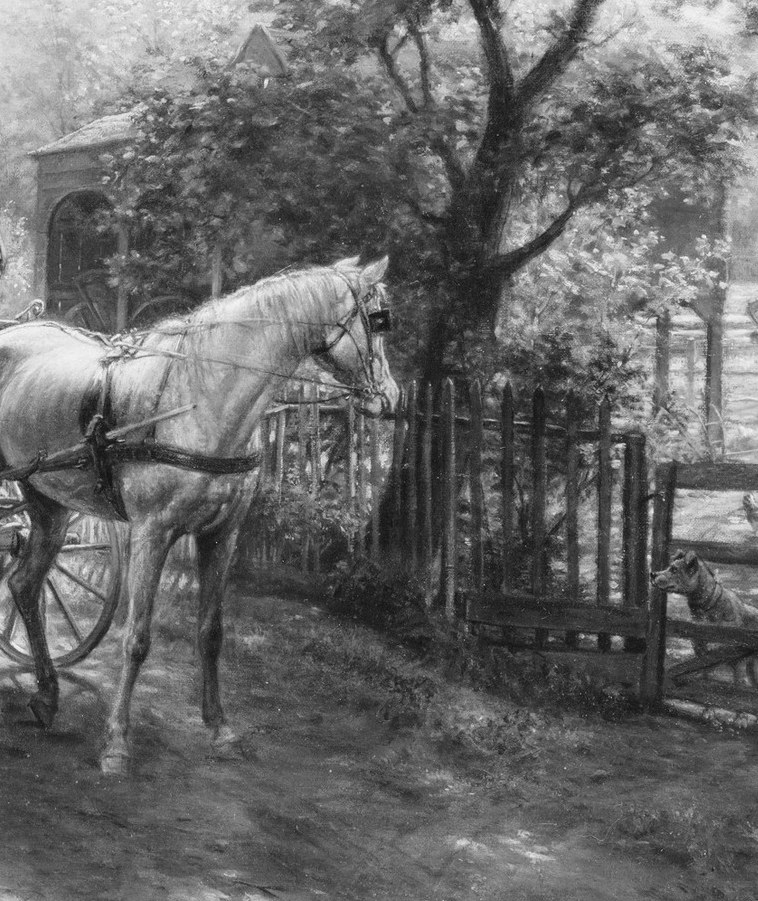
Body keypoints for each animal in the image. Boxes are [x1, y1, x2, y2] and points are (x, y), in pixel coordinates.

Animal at [0, 255, 399, 774]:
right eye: (379, 320)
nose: (392, 396)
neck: (202, 393)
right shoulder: (152, 532)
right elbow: (137, 638)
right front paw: (116, 743)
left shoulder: (222, 535)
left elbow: (211, 632)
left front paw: (220, 728)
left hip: (46, 500)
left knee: (25, 584)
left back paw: (47, 695)